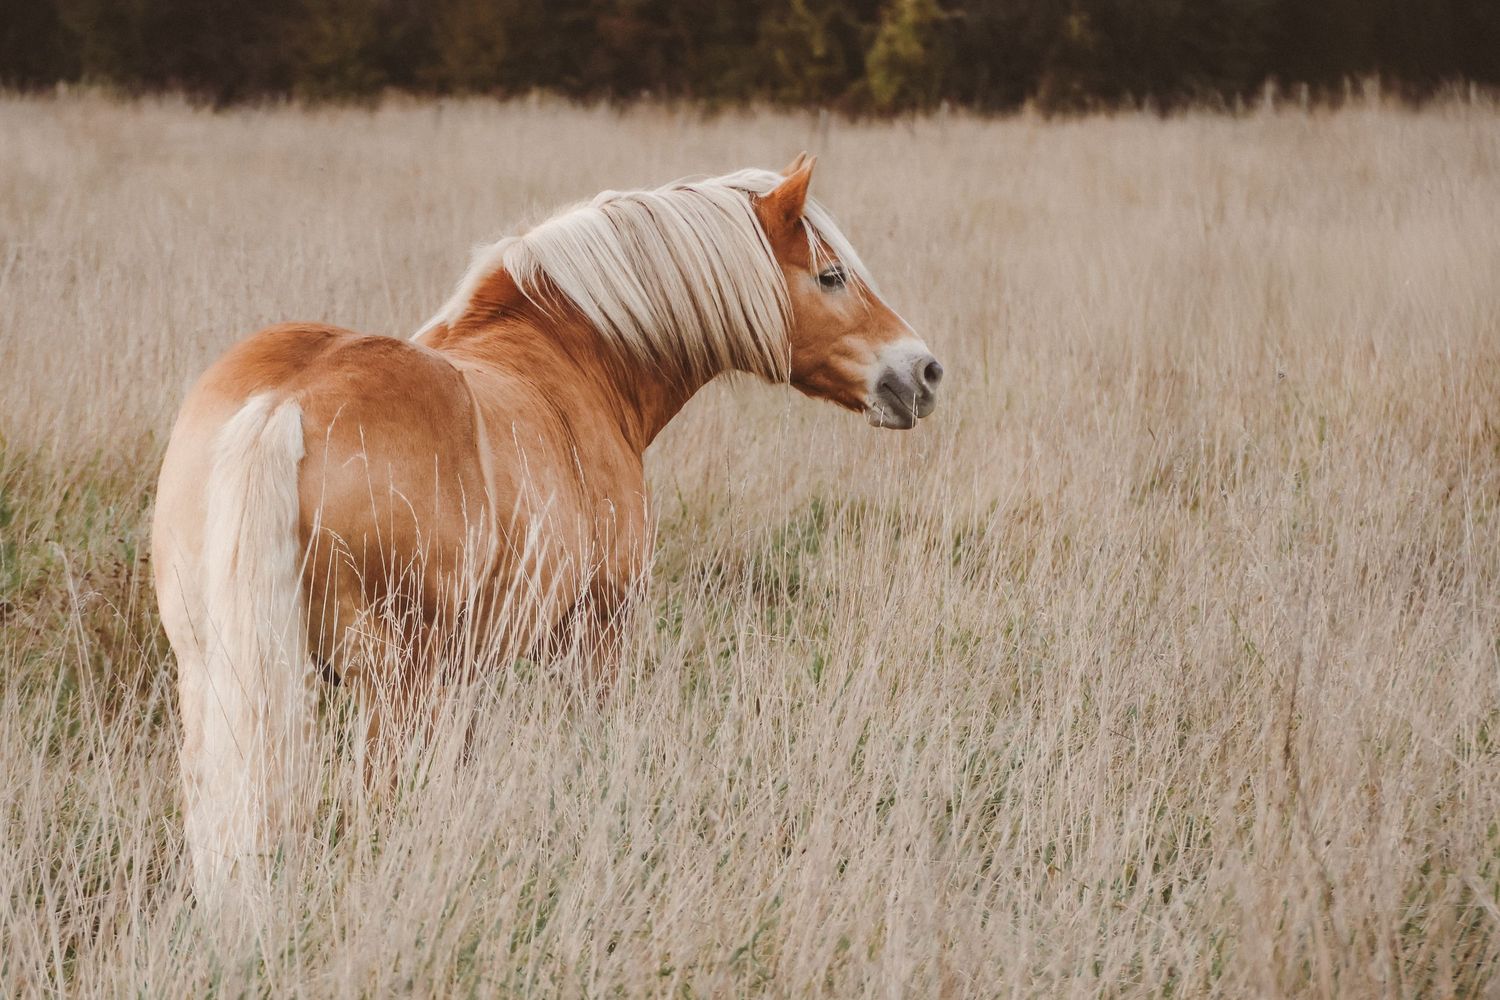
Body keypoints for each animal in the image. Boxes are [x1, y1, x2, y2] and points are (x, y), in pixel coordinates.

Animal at [151, 154, 944, 895]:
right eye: (832, 275)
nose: (924, 372)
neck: (573, 358)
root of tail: (283, 405)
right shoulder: (596, 638)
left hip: (219, 679)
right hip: (394, 688)